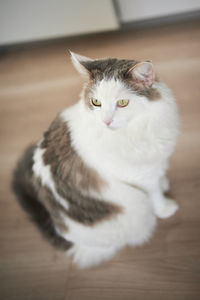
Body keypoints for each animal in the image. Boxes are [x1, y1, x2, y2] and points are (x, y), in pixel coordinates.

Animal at [12, 51, 180, 268]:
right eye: (96, 103)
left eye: (122, 103)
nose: (106, 121)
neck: (138, 128)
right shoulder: (139, 176)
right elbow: (154, 192)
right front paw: (165, 208)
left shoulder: (155, 160)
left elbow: (159, 176)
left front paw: (164, 182)